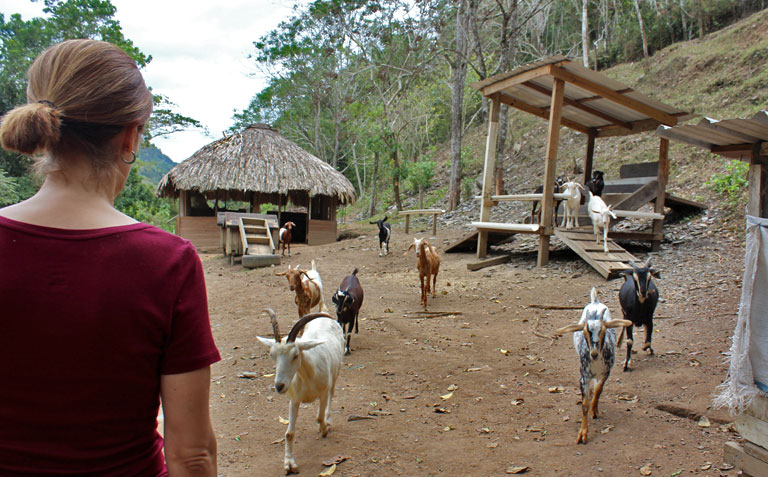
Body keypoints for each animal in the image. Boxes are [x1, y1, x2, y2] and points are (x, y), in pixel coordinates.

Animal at [256, 308, 344, 472]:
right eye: (272, 355)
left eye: (295, 355)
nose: (279, 386)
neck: (308, 376)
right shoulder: (294, 400)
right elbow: (289, 434)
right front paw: (289, 464)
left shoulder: (322, 393)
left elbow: (319, 417)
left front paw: (324, 429)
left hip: (336, 372)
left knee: (332, 394)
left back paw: (328, 420)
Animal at [560, 288, 632, 444]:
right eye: (585, 331)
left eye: (603, 330)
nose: (593, 354)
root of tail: (595, 301)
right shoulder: (584, 377)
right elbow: (584, 405)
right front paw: (582, 435)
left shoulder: (606, 372)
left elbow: (599, 390)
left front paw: (595, 410)